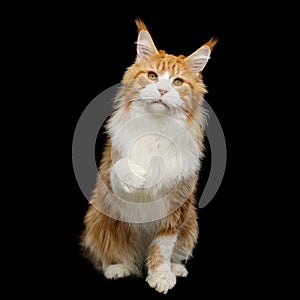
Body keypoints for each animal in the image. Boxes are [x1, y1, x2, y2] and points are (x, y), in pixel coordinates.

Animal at [79, 19, 216, 294]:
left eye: (177, 82)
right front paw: (138, 174)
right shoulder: (112, 179)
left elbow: (162, 248)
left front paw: (161, 275)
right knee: (112, 254)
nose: (162, 90)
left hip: (191, 223)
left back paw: (175, 268)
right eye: (152, 76)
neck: (157, 126)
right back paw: (118, 267)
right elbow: (122, 168)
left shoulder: (177, 204)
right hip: (98, 217)